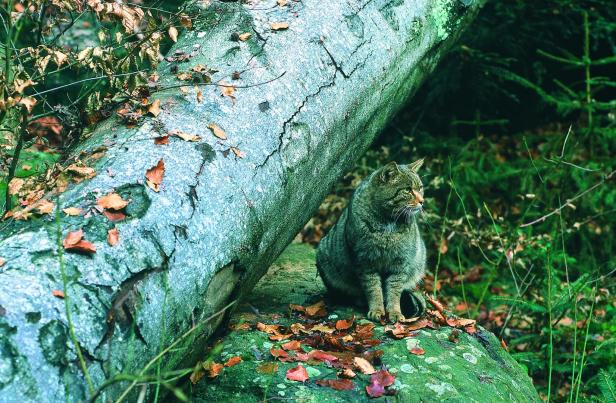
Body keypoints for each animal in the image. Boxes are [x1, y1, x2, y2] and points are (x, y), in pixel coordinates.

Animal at [316, 159, 426, 324]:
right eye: (408, 190)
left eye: (420, 188)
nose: (422, 201)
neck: (388, 223)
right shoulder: (365, 262)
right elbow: (373, 289)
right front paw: (377, 310)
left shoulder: (400, 263)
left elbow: (394, 291)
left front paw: (394, 312)